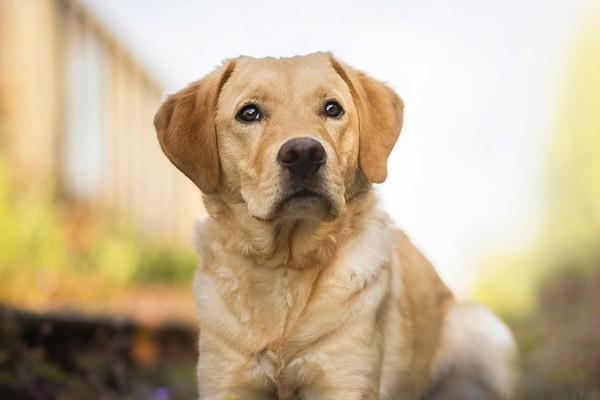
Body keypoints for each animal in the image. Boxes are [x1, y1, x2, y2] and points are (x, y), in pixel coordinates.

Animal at [154, 53, 516, 400]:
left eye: (332, 108)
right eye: (249, 113)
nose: (304, 153)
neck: (286, 266)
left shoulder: (345, 381)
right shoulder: (225, 381)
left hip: (484, 329)